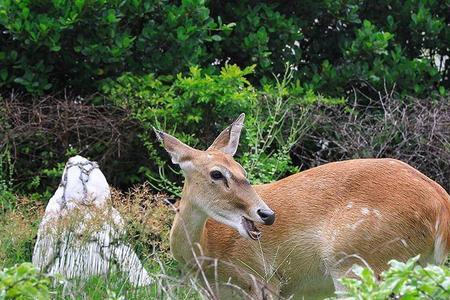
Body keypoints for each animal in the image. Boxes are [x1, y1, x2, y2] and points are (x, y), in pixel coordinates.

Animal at [155, 113, 450, 298]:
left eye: (242, 171)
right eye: (217, 173)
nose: (267, 214)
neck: (205, 254)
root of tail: (441, 204)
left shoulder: (263, 279)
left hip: (357, 260)